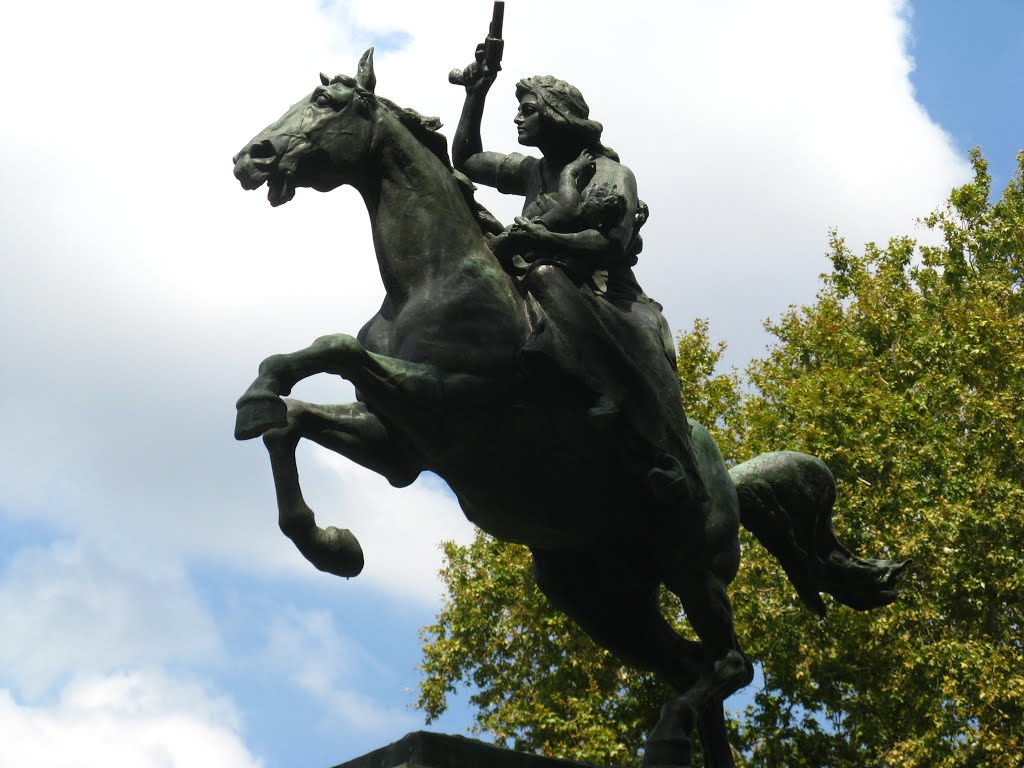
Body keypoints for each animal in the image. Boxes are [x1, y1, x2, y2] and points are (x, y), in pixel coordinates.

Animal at [232, 49, 905, 768]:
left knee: (731, 664)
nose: (251, 156)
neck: (434, 277)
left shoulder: (455, 400)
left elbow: (332, 347)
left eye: (327, 104)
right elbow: (294, 416)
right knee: (696, 668)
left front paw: (266, 414)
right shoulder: (402, 445)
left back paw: (666, 733)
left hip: (691, 564)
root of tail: (729, 476)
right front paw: (327, 540)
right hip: (597, 597)